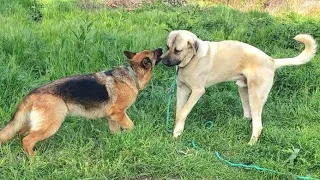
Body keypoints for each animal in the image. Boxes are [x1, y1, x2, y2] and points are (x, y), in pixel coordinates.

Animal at [0, 48, 161, 156]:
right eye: (154, 53)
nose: (161, 48)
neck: (132, 74)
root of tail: (33, 93)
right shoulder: (119, 114)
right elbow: (131, 125)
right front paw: (134, 135)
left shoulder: (113, 117)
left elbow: (115, 132)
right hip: (51, 125)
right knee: (27, 140)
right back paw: (34, 160)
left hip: (29, 123)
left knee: (20, 134)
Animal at [161, 29, 316, 145]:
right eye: (168, 47)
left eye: (177, 50)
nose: (163, 61)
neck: (191, 60)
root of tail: (272, 61)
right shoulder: (182, 89)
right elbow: (179, 112)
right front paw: (177, 131)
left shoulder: (197, 91)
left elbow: (183, 112)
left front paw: (177, 131)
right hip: (243, 89)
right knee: (249, 116)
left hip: (255, 96)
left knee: (258, 125)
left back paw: (251, 144)